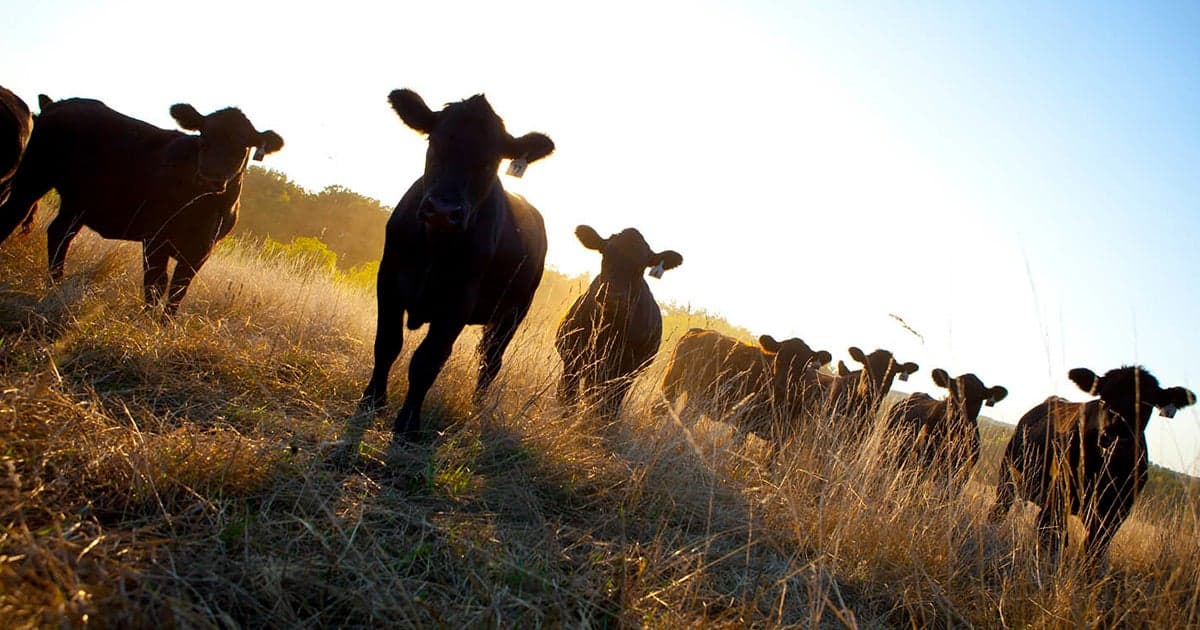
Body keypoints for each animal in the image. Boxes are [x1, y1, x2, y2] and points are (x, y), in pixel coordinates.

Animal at [0, 96, 282, 312]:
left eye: (243, 147)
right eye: (204, 136)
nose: (210, 178)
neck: (203, 208)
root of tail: (58, 104)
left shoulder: (201, 250)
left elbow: (178, 290)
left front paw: (165, 326)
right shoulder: (156, 238)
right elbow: (156, 284)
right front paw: (147, 321)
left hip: (77, 202)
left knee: (59, 234)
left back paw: (56, 286)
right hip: (33, 177)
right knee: (13, 216)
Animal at [357, 89, 554, 441]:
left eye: (491, 160)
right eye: (434, 142)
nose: (442, 210)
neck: (436, 245)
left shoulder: (458, 301)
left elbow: (427, 360)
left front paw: (408, 424)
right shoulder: (389, 281)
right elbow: (387, 344)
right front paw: (372, 400)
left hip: (513, 313)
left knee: (490, 362)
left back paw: (477, 409)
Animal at [554, 224, 681, 417]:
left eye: (642, 265)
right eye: (605, 253)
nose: (613, 296)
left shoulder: (625, 372)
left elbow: (609, 408)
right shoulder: (572, 358)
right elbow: (568, 399)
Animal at [988, 364, 1195, 561]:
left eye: (1145, 404)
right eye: (1104, 399)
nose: (1113, 438)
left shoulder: (1115, 514)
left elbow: (1094, 551)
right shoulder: (1058, 499)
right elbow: (1053, 538)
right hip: (1007, 476)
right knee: (999, 510)